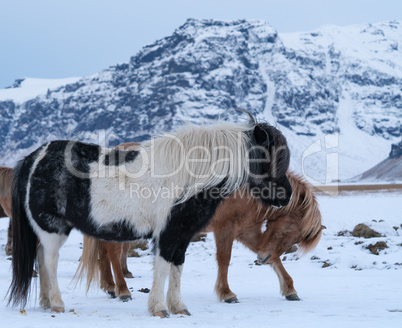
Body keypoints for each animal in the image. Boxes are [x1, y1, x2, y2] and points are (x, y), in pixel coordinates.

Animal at [7, 120, 290, 316]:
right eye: (268, 156)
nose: (286, 195)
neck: (189, 178)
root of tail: (35, 157)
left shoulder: (182, 235)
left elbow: (177, 269)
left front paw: (179, 308)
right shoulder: (167, 235)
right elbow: (163, 268)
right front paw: (159, 309)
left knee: (42, 259)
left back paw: (46, 303)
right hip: (53, 228)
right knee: (49, 261)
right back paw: (57, 303)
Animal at [80, 172, 322, 302]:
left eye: (296, 239)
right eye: (287, 229)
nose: (262, 259)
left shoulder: (247, 232)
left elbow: (276, 259)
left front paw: (290, 289)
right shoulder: (225, 229)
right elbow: (224, 260)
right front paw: (226, 293)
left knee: (105, 252)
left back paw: (110, 286)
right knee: (113, 252)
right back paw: (122, 289)